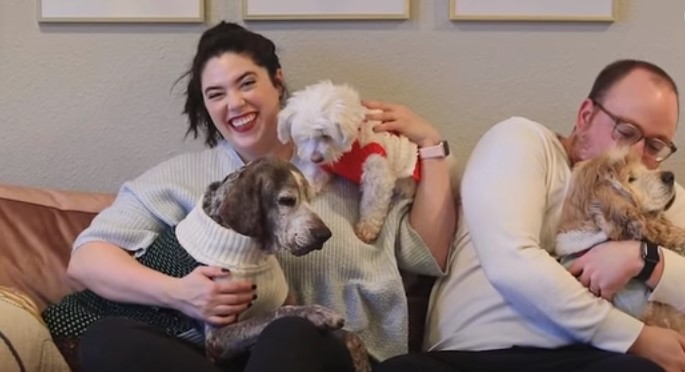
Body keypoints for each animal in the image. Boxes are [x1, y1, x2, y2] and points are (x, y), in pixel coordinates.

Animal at [276, 80, 416, 243]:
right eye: (303, 137)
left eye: (325, 135)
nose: (315, 159)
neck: (348, 151)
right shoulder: (324, 167)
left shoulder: (378, 171)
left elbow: (373, 202)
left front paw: (366, 229)